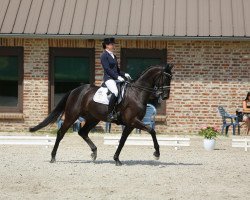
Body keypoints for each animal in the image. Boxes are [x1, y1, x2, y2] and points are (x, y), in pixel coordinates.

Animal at [29, 65, 173, 165]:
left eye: (171, 78)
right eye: (165, 78)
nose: (165, 96)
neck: (137, 93)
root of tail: (75, 90)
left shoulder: (130, 124)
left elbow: (123, 140)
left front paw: (116, 159)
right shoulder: (133, 121)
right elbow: (151, 130)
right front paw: (157, 153)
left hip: (93, 118)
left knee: (82, 132)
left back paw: (94, 153)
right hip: (72, 116)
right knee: (60, 133)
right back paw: (53, 157)